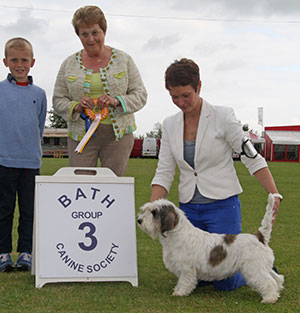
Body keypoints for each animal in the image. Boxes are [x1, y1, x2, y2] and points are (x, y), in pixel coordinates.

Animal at [137, 193, 284, 302]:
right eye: (146, 210)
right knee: (277, 278)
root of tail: (259, 237)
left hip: (254, 269)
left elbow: (184, 282)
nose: (139, 220)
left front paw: (179, 293)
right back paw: (277, 292)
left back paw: (270, 298)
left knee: (269, 282)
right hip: (262, 267)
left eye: (154, 212)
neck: (176, 236)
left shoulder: (186, 269)